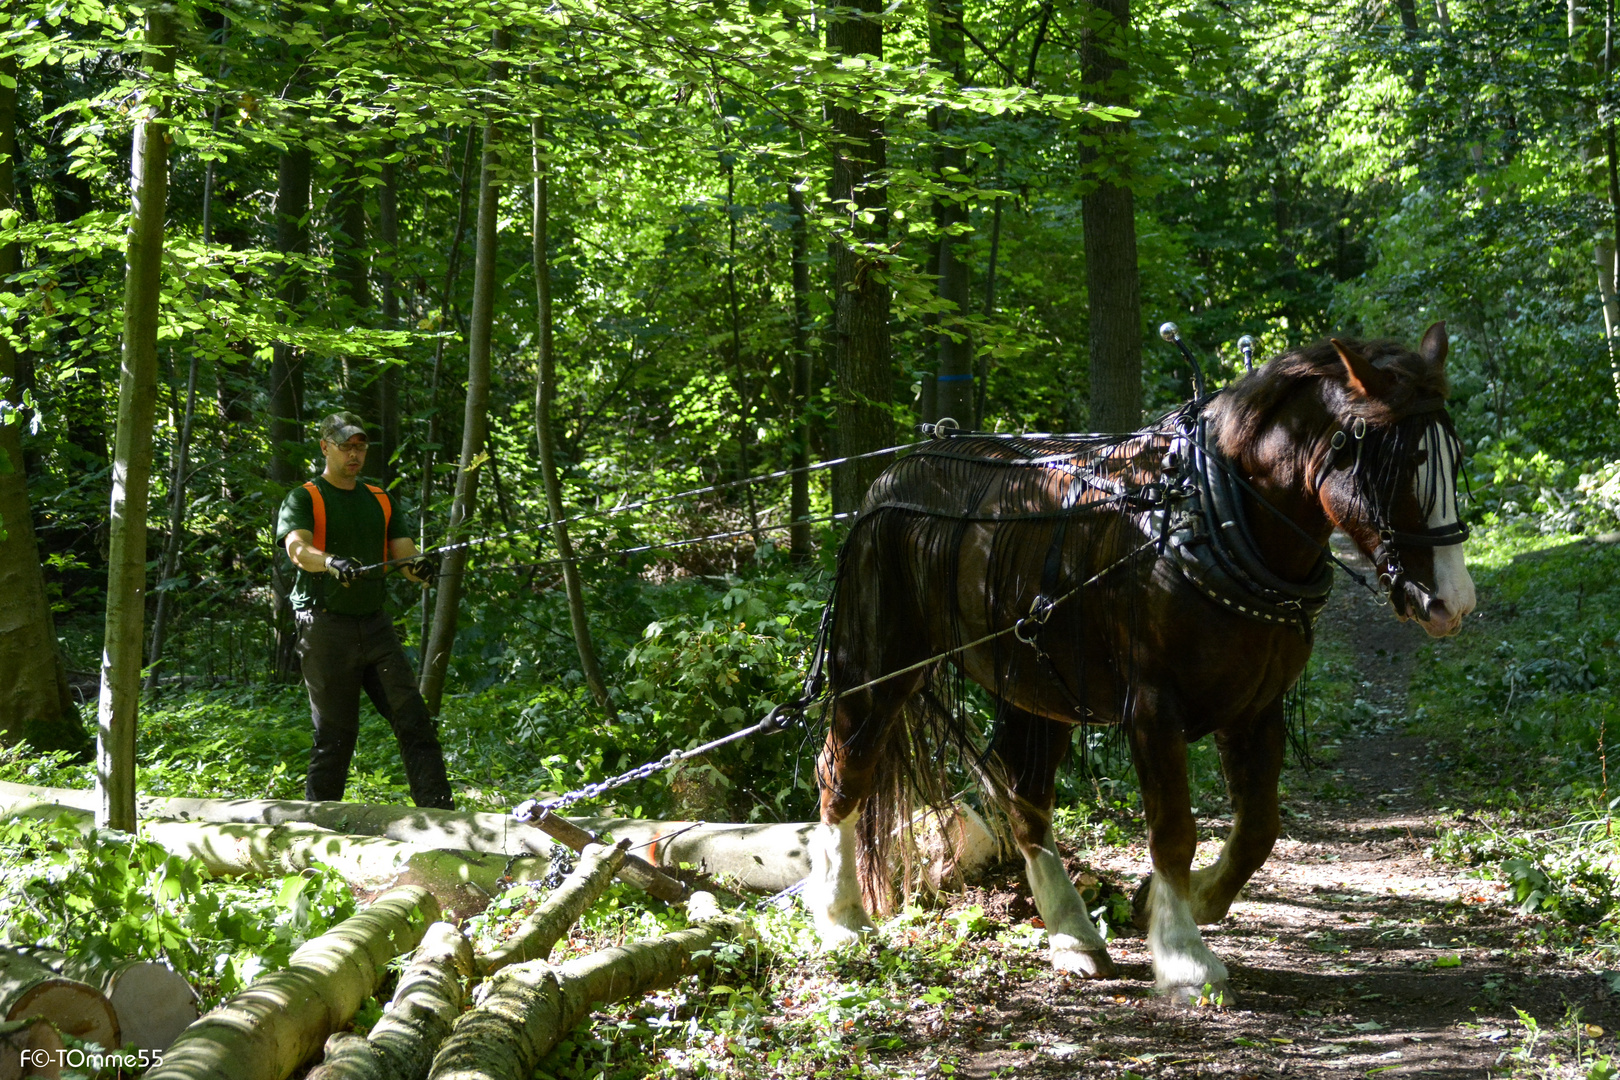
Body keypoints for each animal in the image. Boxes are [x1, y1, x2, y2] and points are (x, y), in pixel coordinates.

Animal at [803, 323, 1477, 1003]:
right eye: (1399, 465)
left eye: (1451, 460)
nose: (1453, 603)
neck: (1206, 517)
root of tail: (894, 475)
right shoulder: (1154, 709)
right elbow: (1173, 831)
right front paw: (1184, 956)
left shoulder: (1256, 706)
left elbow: (1258, 828)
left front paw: (1178, 901)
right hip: (877, 666)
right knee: (843, 771)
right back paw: (842, 919)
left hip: (1036, 685)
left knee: (1025, 798)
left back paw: (1074, 936)